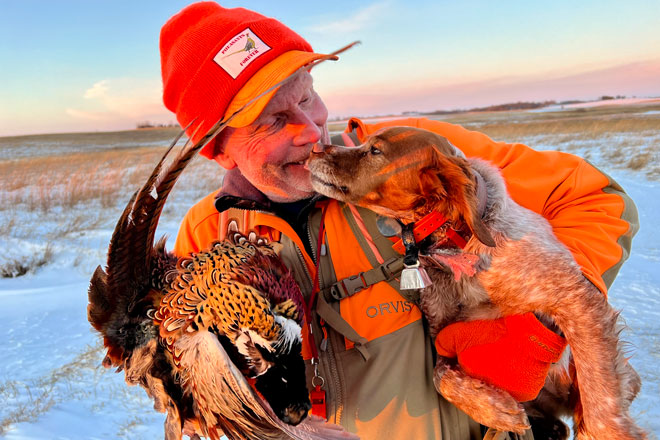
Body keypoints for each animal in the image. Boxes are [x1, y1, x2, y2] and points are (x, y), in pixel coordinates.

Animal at [308, 127, 644, 440]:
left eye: (375, 150)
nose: (314, 148)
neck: (456, 242)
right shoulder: (444, 335)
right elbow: (439, 376)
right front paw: (494, 408)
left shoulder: (577, 301)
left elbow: (600, 405)